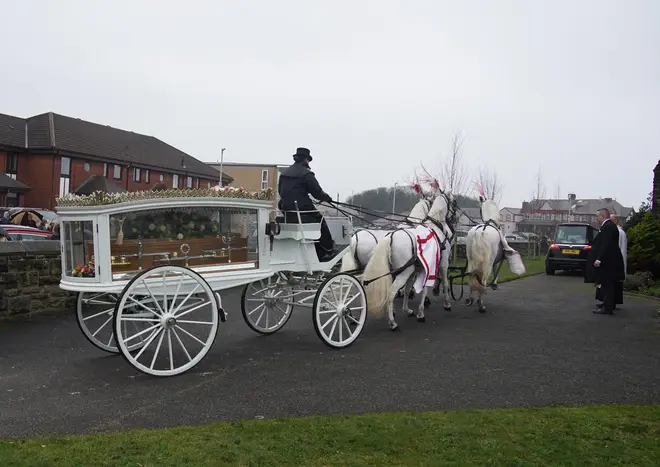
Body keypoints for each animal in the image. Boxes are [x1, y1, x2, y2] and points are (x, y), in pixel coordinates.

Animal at [358, 194, 452, 332]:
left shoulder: (418, 269)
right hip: (402, 273)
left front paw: (409, 310)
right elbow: (443, 283)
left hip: (402, 271)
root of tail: (390, 237)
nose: (451, 228)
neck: (435, 229)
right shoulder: (441, 264)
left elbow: (409, 289)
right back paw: (392, 322)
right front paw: (444, 305)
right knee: (391, 292)